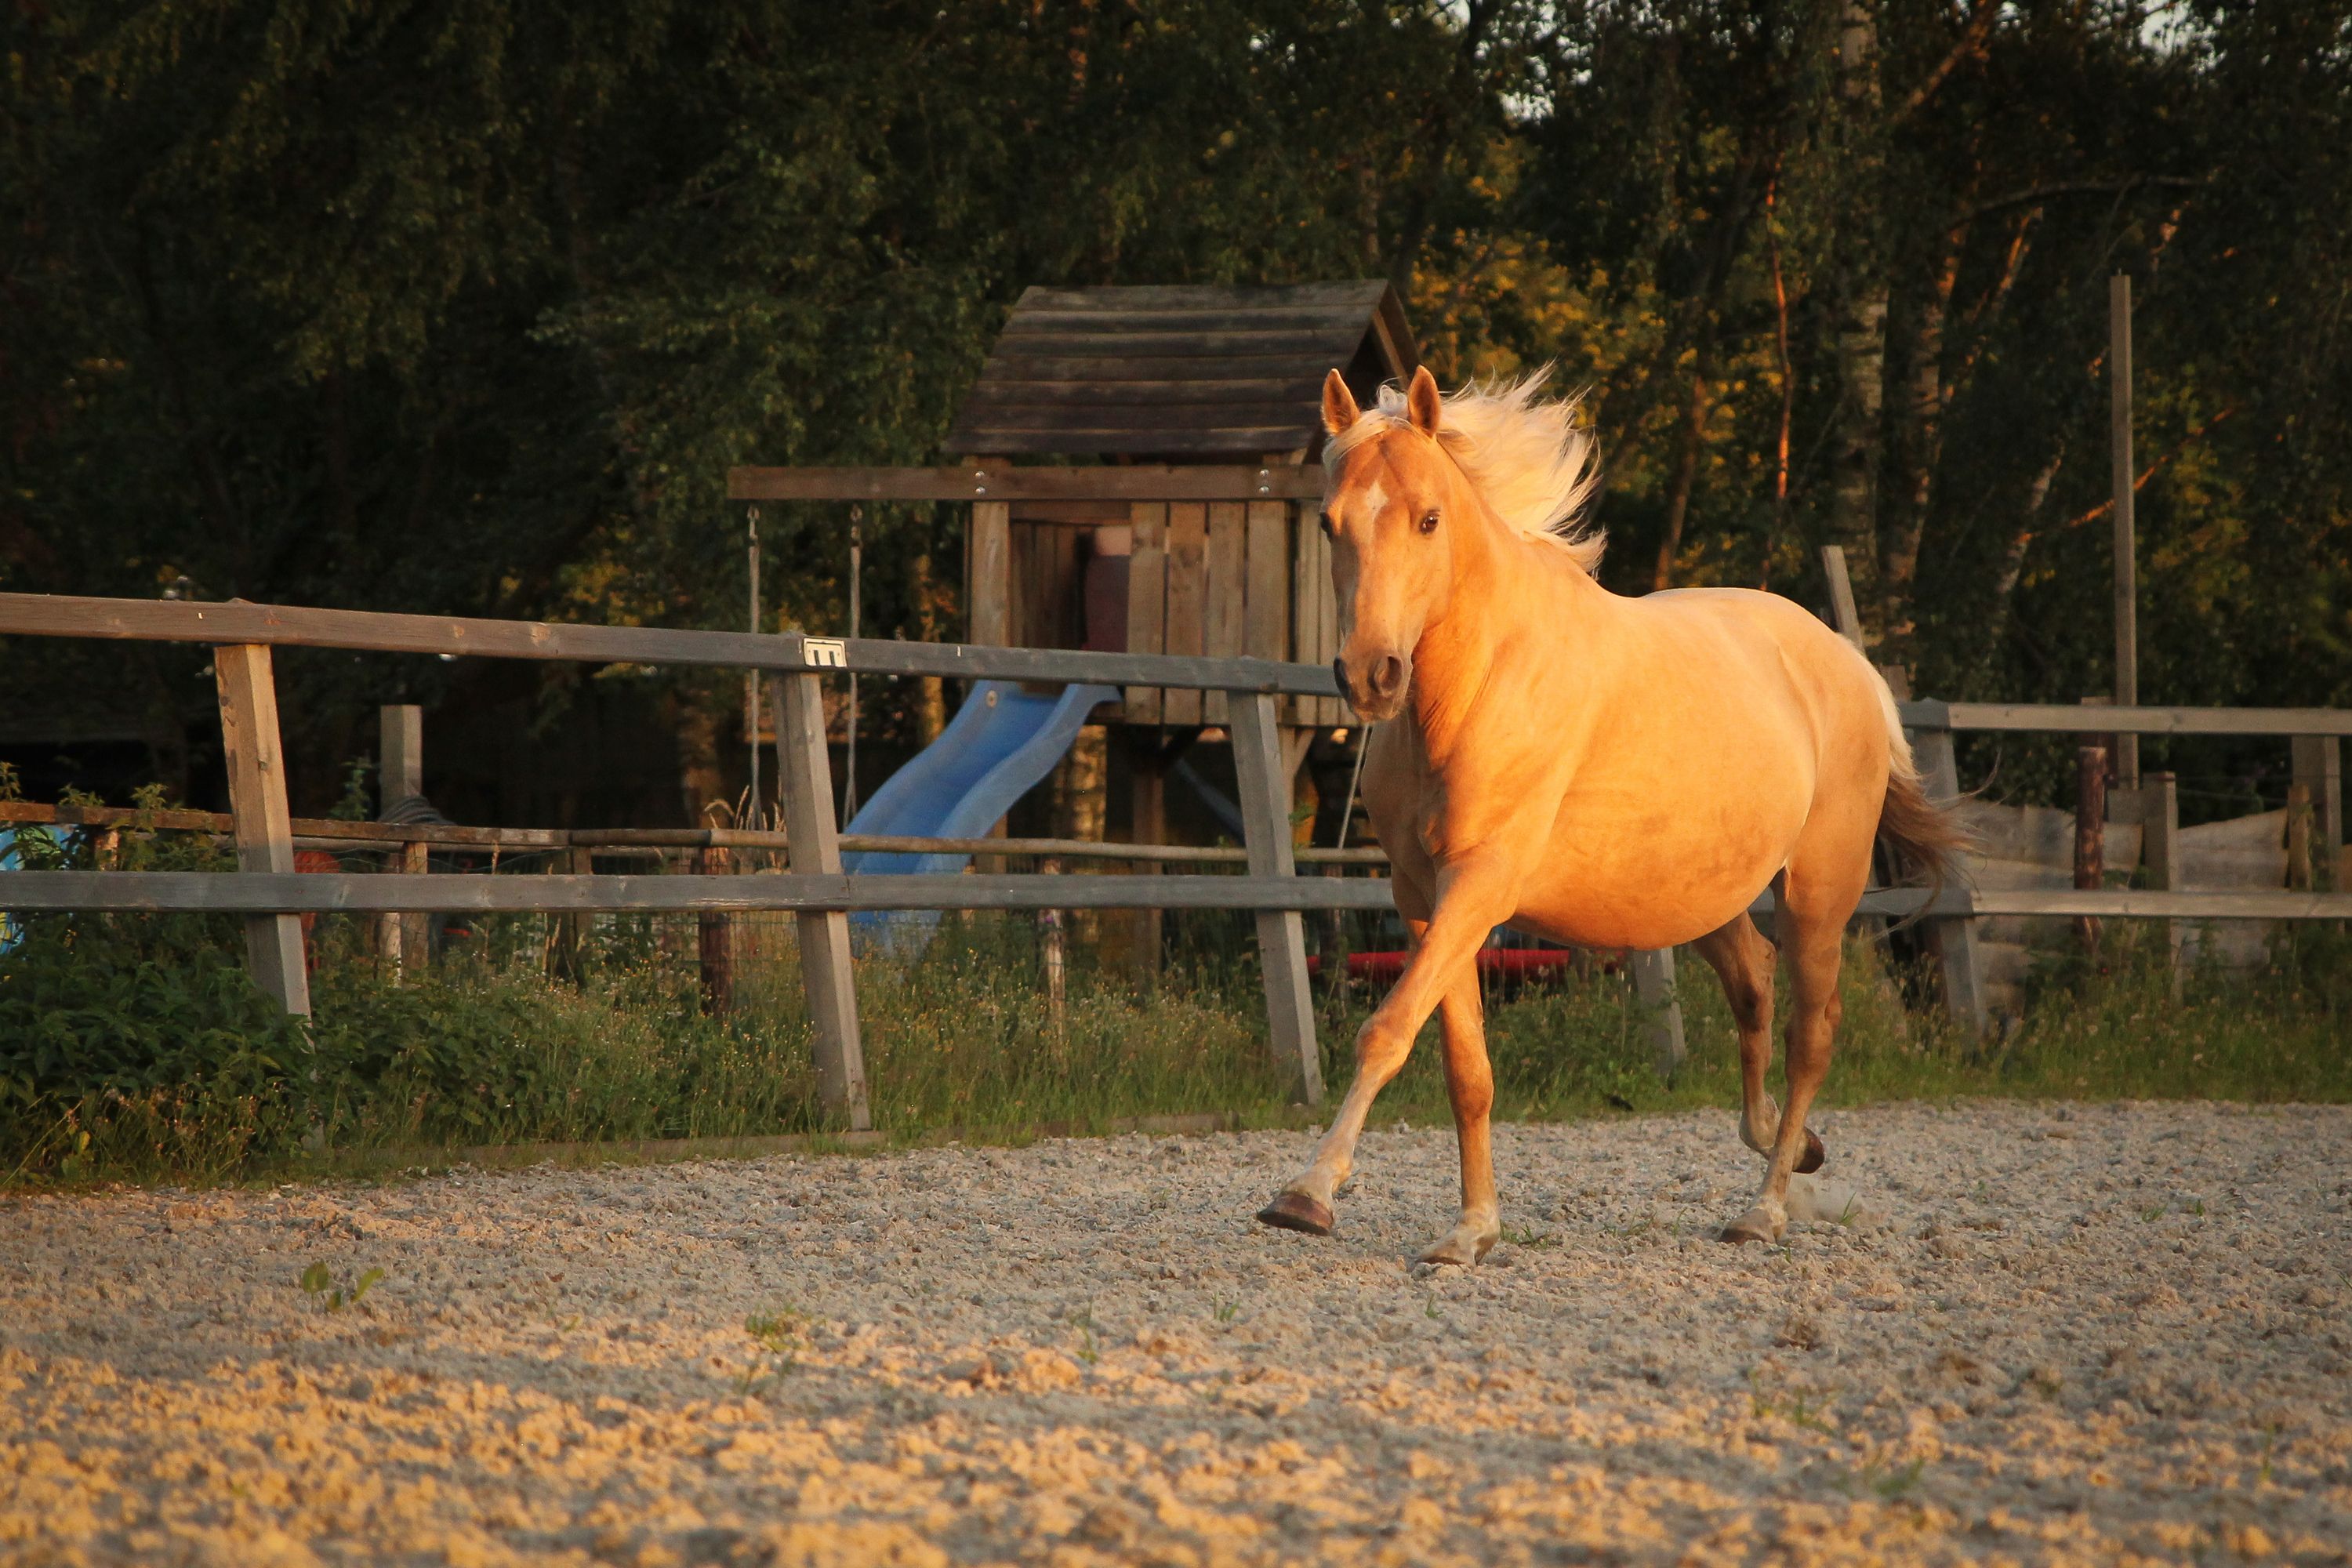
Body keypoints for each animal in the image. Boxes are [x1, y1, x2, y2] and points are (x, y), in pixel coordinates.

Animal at [1256, 366, 1965, 1260]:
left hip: (1818, 892)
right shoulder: (1424, 900)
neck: (1474, 689)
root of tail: (1850, 664)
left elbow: (1388, 1030)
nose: (1370, 675)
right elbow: (1463, 1067)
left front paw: (1306, 1194)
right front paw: (1472, 1230)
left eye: (1429, 517)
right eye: (1328, 522)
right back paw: (1791, 1146)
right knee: (1755, 985)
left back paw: (1764, 1207)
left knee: (1811, 1034)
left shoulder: (1480, 885)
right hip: (1699, 896)